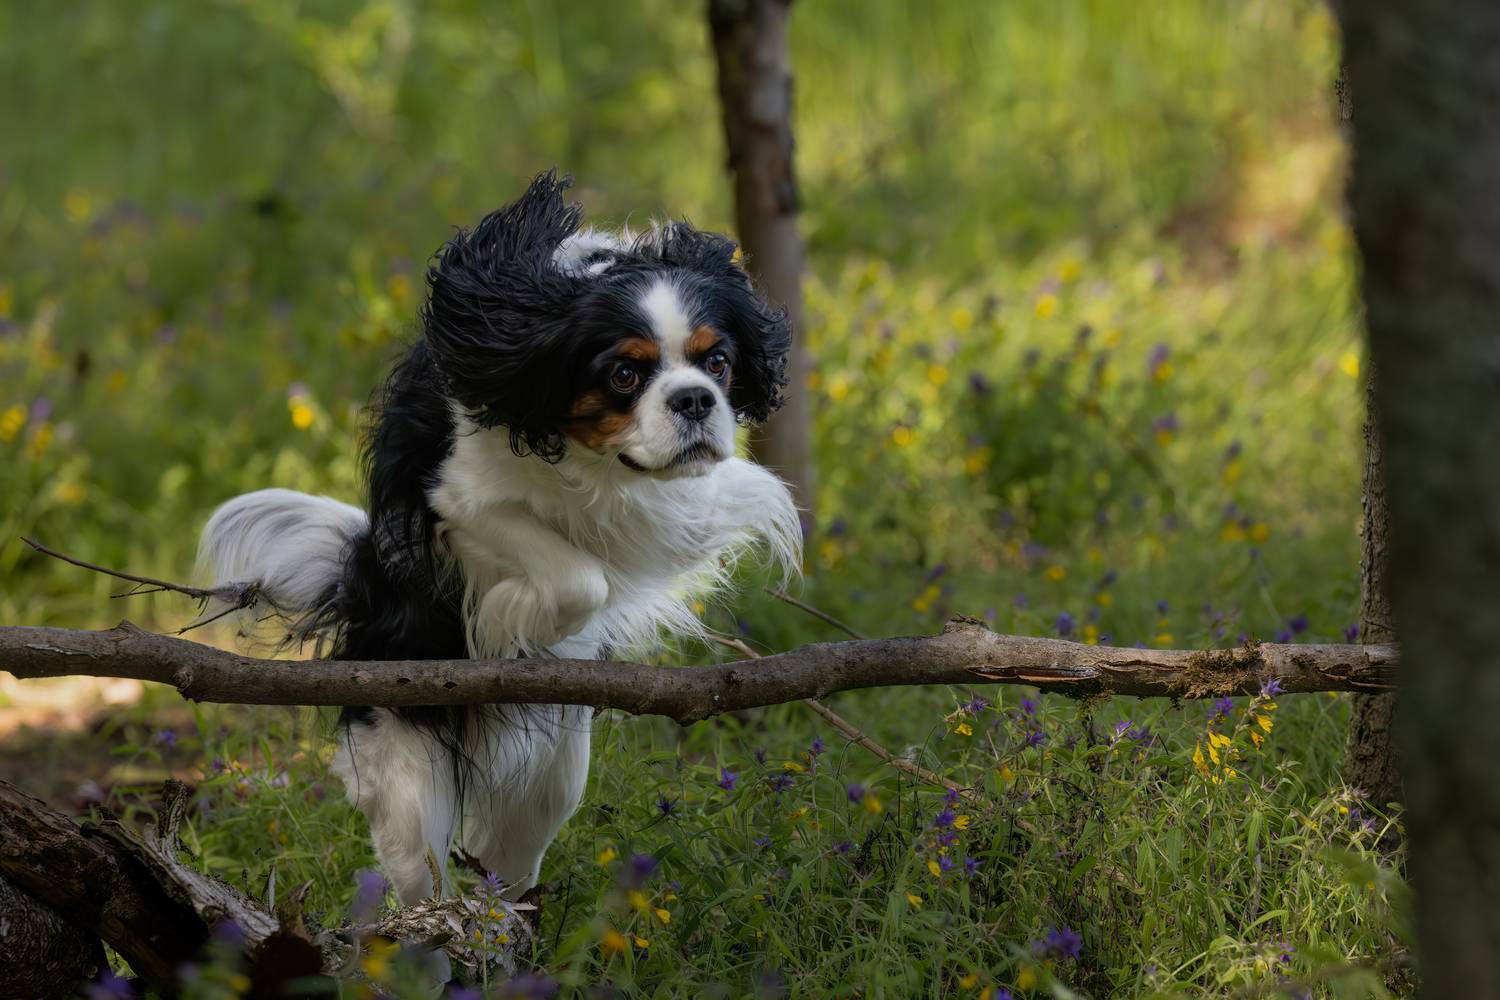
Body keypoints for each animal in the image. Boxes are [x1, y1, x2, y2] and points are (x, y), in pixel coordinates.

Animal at [197, 172, 800, 905]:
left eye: (718, 362)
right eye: (624, 375)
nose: (694, 401)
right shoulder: (459, 499)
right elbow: (576, 576)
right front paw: (524, 623)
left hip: (555, 774)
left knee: (508, 862)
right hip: (408, 763)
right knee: (421, 879)